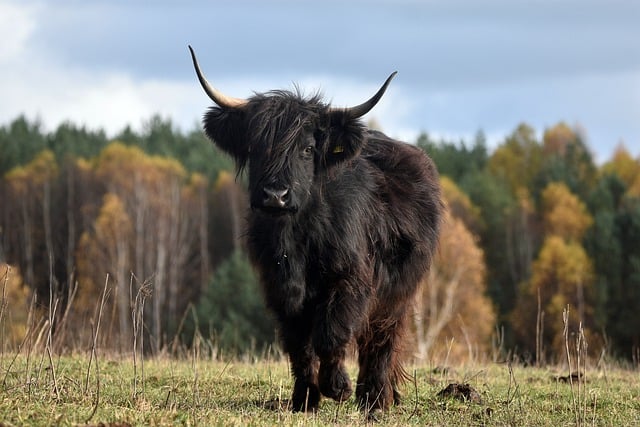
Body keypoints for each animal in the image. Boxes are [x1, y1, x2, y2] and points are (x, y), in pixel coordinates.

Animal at [188, 46, 442, 414]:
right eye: (254, 148)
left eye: (307, 149)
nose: (275, 195)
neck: (296, 238)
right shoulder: (280, 287)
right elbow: (299, 345)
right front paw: (304, 399)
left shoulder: (352, 279)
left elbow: (331, 332)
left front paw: (337, 386)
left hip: (399, 290)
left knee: (382, 339)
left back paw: (375, 398)